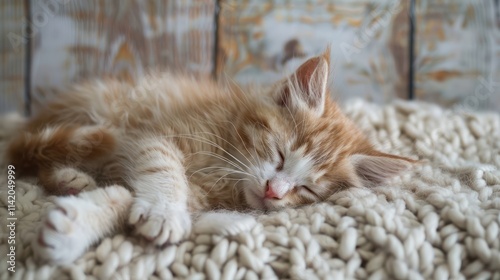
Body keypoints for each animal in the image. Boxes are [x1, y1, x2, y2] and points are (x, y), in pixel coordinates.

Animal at [5, 49, 416, 264]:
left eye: (307, 190)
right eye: (280, 155)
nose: (274, 191)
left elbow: (126, 196)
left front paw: (75, 228)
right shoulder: (150, 136)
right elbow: (162, 166)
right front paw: (163, 211)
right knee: (25, 151)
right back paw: (67, 175)